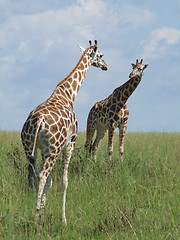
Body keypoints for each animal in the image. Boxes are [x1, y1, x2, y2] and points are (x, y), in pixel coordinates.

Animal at [21, 39, 108, 223]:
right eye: (101, 55)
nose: (105, 65)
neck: (68, 94)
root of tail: (38, 121)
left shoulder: (42, 149)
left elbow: (52, 182)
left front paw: (43, 211)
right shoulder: (70, 144)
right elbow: (64, 181)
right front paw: (63, 219)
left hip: (30, 147)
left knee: (33, 177)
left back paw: (36, 214)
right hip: (53, 149)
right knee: (42, 176)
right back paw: (35, 217)